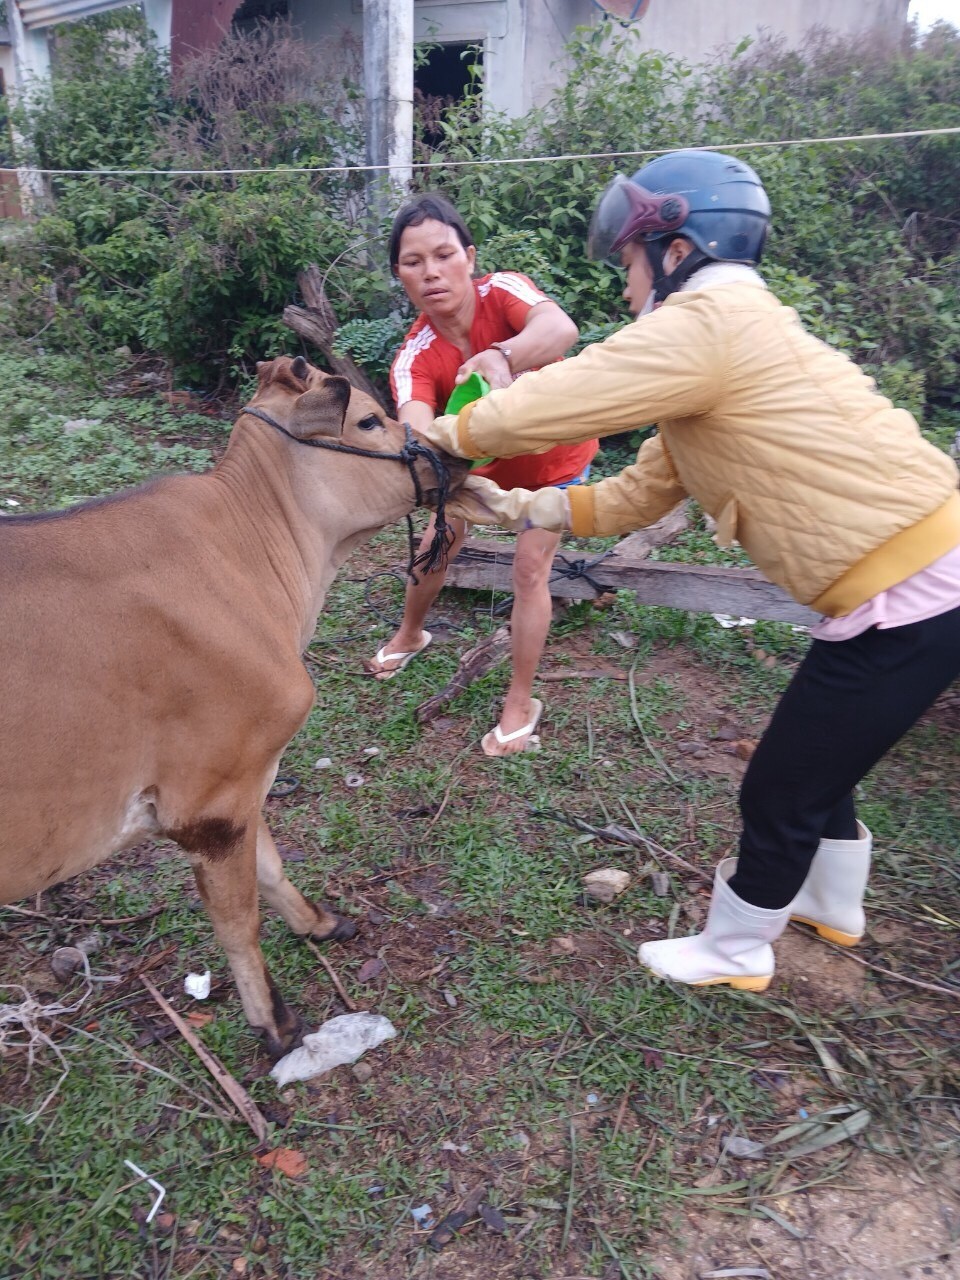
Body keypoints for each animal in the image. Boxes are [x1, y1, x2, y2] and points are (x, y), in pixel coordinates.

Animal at [0, 355, 465, 1054]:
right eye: (368, 419)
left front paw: (318, 921)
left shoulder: (249, 776)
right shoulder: (210, 798)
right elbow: (237, 917)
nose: (453, 458)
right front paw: (274, 1020)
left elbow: (270, 866)